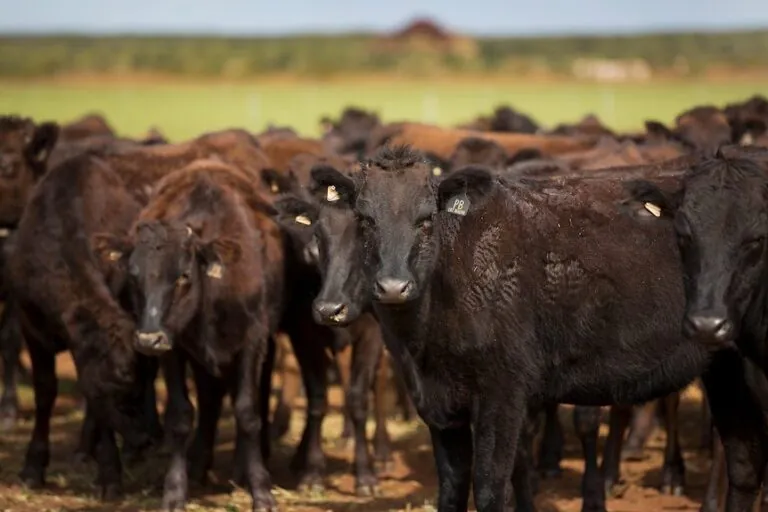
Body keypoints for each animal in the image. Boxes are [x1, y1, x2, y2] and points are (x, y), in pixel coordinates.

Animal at [295, 144, 763, 512]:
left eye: (426, 219)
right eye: (365, 220)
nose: (393, 286)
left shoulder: (503, 392)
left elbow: (490, 488)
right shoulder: (438, 405)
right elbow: (452, 489)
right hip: (726, 373)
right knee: (744, 467)